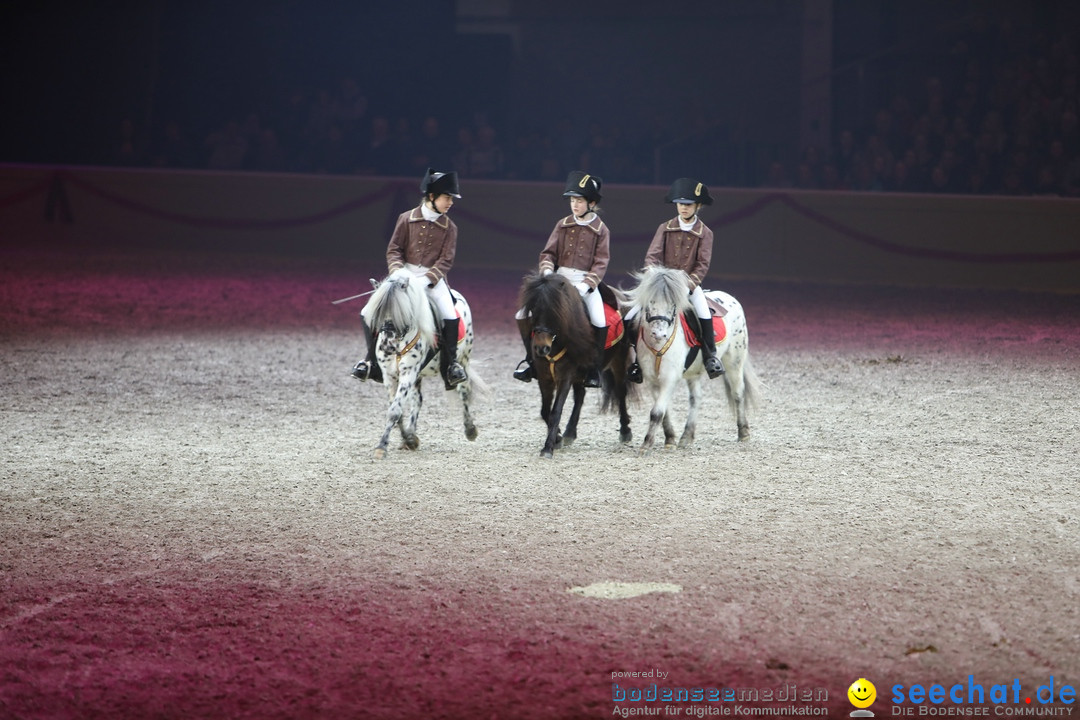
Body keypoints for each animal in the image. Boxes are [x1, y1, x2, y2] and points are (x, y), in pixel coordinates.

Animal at [360, 267, 479, 459]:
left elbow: (394, 411)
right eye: (376, 313)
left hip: (463, 359)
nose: (387, 346)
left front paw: (381, 447)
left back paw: (470, 429)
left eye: (400, 310)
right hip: (418, 375)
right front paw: (407, 439)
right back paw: (411, 435)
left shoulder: (408, 372)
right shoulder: (389, 375)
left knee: (464, 391)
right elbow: (397, 409)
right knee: (418, 400)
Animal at [516, 273, 630, 459]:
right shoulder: (545, 378)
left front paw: (548, 447)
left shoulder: (565, 377)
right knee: (580, 396)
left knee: (621, 391)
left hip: (619, 360)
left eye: (556, 311)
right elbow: (545, 411)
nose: (541, 348)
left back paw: (626, 430)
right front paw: (557, 437)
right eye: (532, 311)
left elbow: (555, 412)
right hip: (580, 375)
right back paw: (570, 433)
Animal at [622, 266, 764, 455]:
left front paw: (646, 445)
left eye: (673, 305)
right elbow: (664, 411)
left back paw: (743, 433)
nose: (659, 334)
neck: (658, 346)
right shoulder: (653, 380)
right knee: (696, 398)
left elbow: (657, 412)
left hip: (734, 361)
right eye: (649, 303)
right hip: (694, 372)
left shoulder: (669, 378)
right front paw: (670, 439)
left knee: (738, 392)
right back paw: (687, 436)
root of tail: (730, 298)